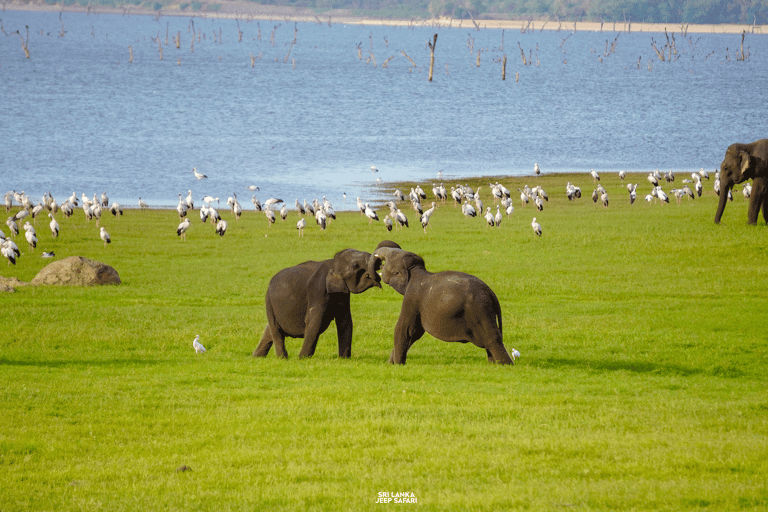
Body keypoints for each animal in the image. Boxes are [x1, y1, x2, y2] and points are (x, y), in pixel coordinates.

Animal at [252, 250, 380, 358]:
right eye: (356, 265)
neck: (332, 263)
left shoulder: (342, 293)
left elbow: (345, 320)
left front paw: (344, 359)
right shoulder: (318, 290)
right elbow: (315, 320)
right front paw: (302, 358)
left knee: (270, 328)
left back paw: (257, 357)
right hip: (269, 301)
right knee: (275, 328)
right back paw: (282, 358)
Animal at [374, 240, 516, 364]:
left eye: (387, 260)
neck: (415, 270)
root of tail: (492, 295)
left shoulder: (412, 298)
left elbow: (405, 330)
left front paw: (397, 365)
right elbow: (415, 333)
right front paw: (390, 363)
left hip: (480, 311)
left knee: (492, 340)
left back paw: (505, 365)